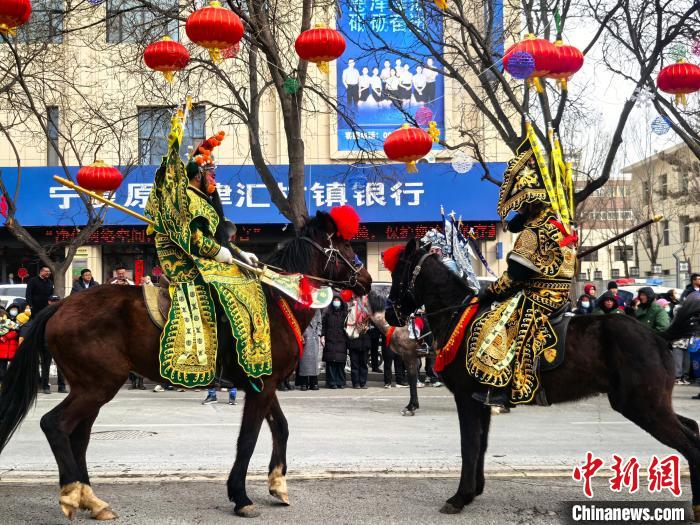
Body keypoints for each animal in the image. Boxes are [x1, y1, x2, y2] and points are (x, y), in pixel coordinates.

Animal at [0, 210, 372, 520]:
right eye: (344, 245)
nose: (367, 279)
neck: (278, 303)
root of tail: (59, 306)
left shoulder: (265, 383)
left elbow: (280, 428)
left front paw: (278, 485)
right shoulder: (261, 385)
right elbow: (248, 439)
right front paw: (240, 496)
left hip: (91, 386)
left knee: (78, 435)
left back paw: (91, 500)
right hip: (97, 385)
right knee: (54, 424)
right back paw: (70, 495)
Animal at [386, 237, 700, 520]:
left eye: (397, 272)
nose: (390, 314)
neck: (458, 317)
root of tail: (658, 336)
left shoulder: (466, 399)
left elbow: (469, 446)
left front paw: (460, 497)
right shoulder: (482, 401)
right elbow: (481, 445)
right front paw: (474, 491)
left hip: (643, 406)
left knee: (690, 446)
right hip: (651, 405)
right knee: (693, 429)